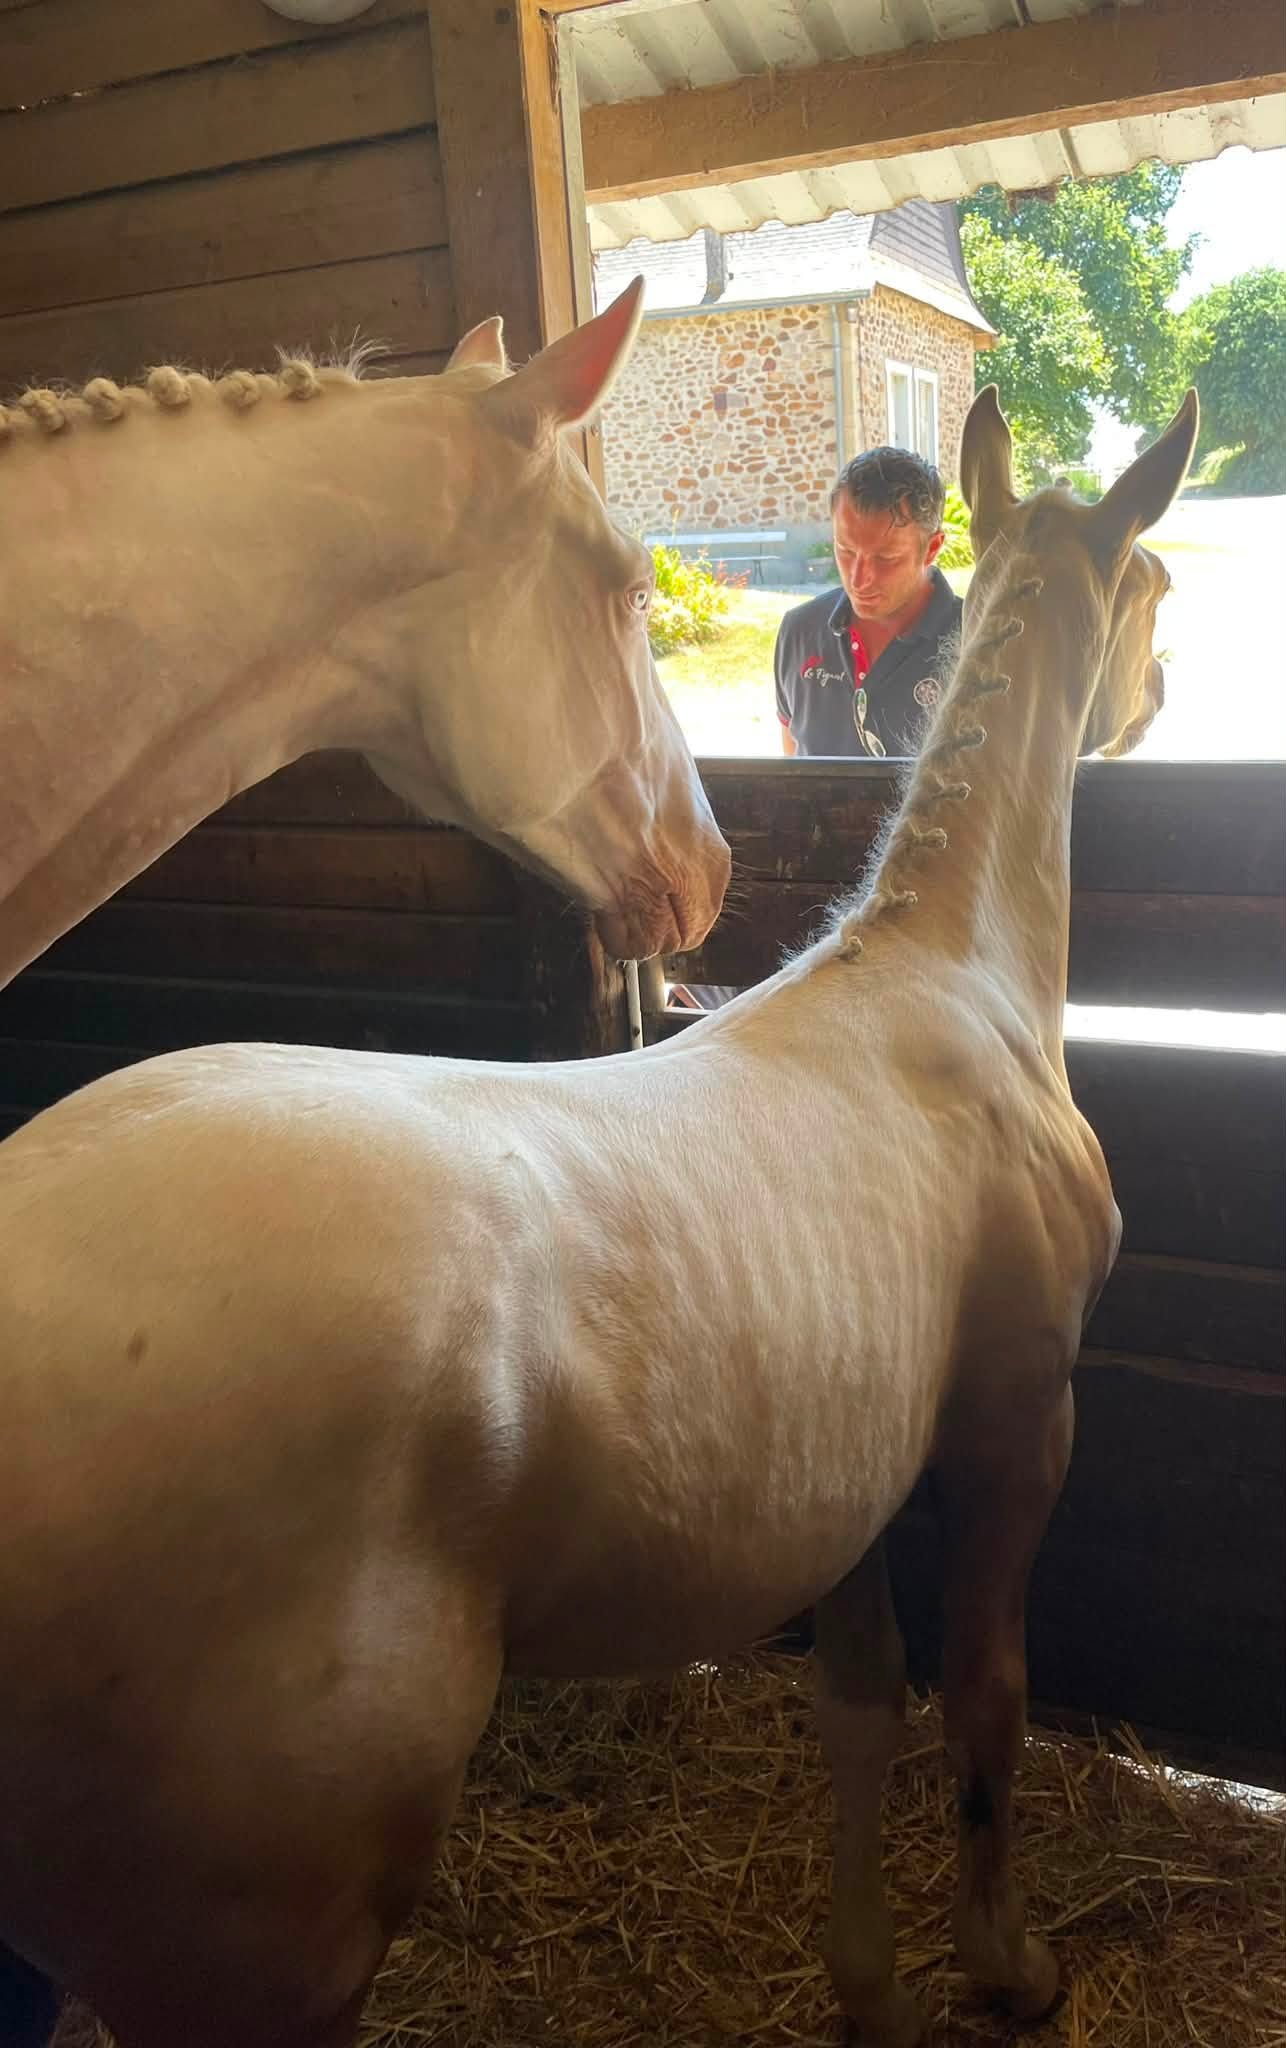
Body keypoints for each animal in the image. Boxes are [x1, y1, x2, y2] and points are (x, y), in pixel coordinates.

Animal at [0, 384, 1196, 2047]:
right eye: (1150, 583)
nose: (1154, 700)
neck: (944, 981)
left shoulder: (845, 1471)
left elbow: (858, 1704)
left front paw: (869, 1987)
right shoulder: (1018, 1430)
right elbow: (984, 1704)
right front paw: (1005, 1966)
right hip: (258, 1953)